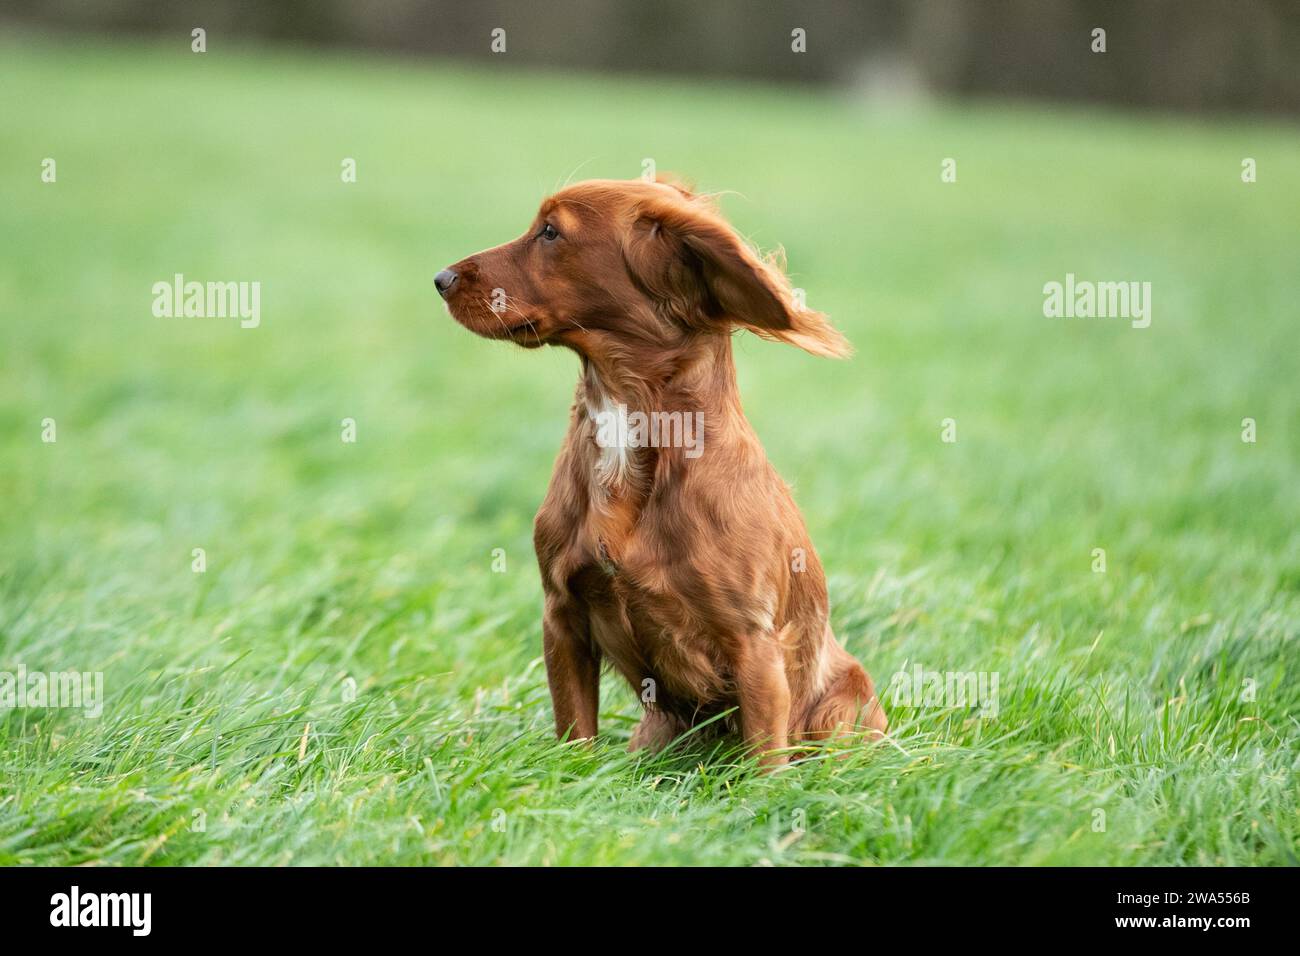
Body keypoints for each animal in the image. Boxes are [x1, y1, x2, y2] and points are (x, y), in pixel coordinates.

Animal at [436, 175, 883, 764]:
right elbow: (574, 730)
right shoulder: (562, 615)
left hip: (842, 706)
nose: (440, 278)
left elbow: (766, 760)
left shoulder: (754, 644)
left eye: (550, 232)